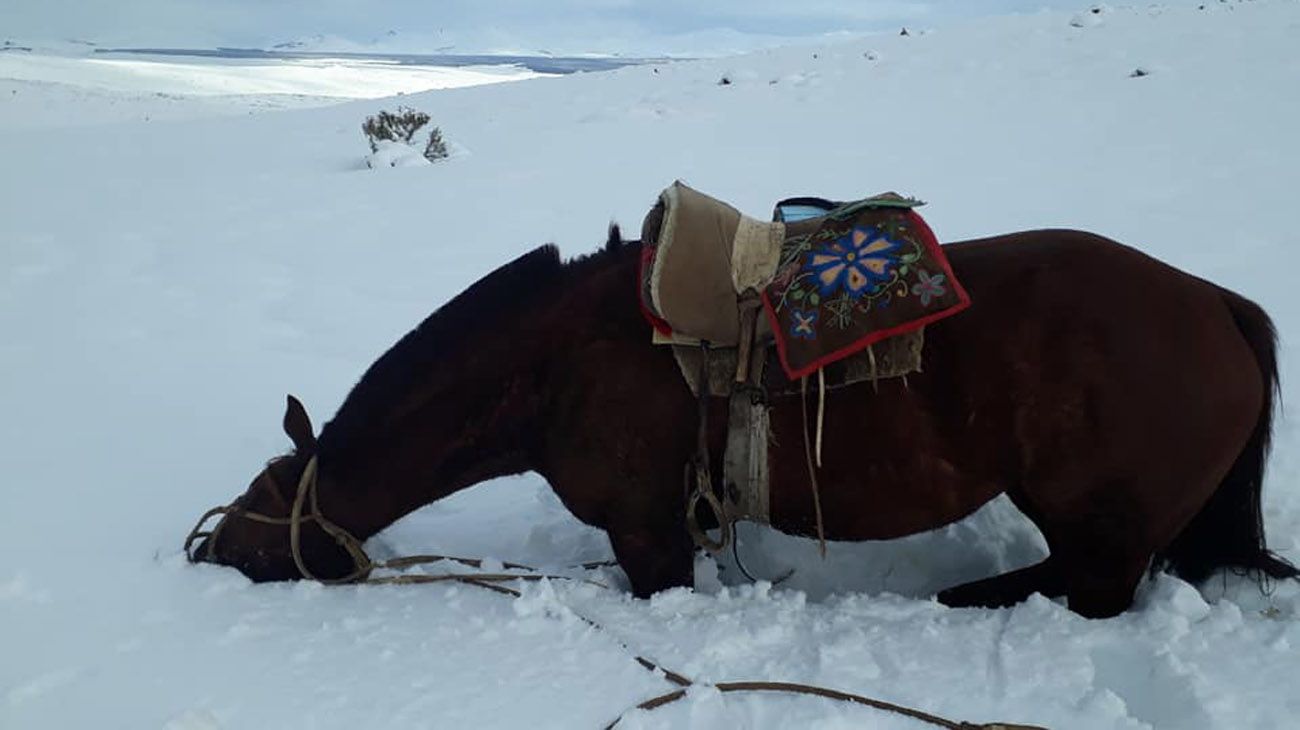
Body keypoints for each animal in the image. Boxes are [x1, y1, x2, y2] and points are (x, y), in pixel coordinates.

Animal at [192, 226, 1300, 613]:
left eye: (266, 494)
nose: (208, 550)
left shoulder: (646, 535)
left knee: (1090, 585)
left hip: (1100, 528)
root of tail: (1218, 306)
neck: (557, 367)